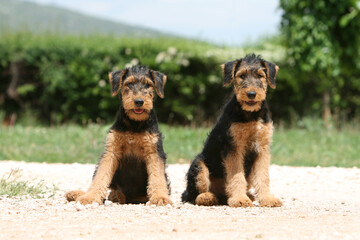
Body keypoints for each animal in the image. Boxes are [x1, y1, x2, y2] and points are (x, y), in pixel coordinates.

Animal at [65, 65, 172, 206]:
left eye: (148, 85)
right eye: (129, 84)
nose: (139, 101)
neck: (134, 124)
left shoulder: (154, 151)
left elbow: (157, 177)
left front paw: (160, 198)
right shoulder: (111, 151)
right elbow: (100, 176)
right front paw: (90, 197)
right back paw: (80, 194)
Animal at [183, 53, 282, 207]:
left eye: (260, 75)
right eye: (241, 75)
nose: (251, 94)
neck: (251, 115)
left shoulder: (262, 148)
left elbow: (263, 176)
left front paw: (267, 199)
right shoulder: (234, 148)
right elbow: (237, 176)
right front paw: (240, 199)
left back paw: (248, 196)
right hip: (199, 165)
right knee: (193, 194)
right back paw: (207, 197)